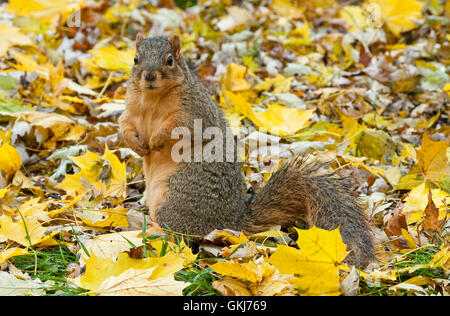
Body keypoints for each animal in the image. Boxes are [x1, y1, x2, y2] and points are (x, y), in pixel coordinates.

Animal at [118, 34, 374, 266]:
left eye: (170, 60)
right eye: (135, 58)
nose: (149, 76)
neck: (152, 98)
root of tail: (231, 223)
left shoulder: (194, 110)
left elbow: (179, 128)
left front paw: (156, 140)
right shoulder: (131, 109)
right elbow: (125, 126)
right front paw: (138, 145)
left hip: (177, 197)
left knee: (180, 236)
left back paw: (151, 232)